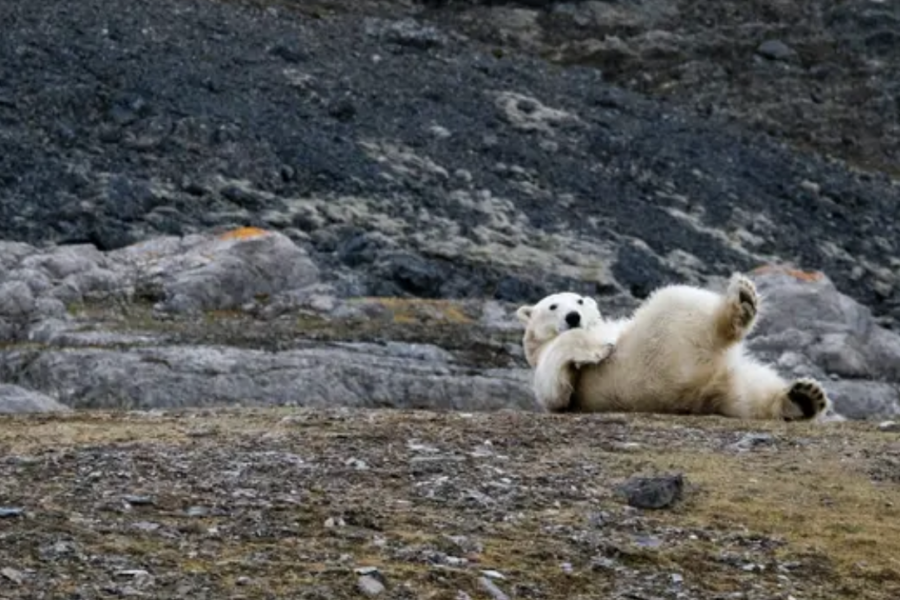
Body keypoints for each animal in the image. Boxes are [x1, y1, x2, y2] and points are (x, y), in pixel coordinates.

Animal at [515, 273, 832, 421]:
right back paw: (741, 303)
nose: (573, 316)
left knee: (750, 393)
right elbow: (556, 388)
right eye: (553, 306)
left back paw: (804, 398)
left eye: (580, 301)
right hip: (657, 346)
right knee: (678, 298)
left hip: (719, 381)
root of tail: (693, 392)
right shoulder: (552, 369)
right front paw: (598, 349)